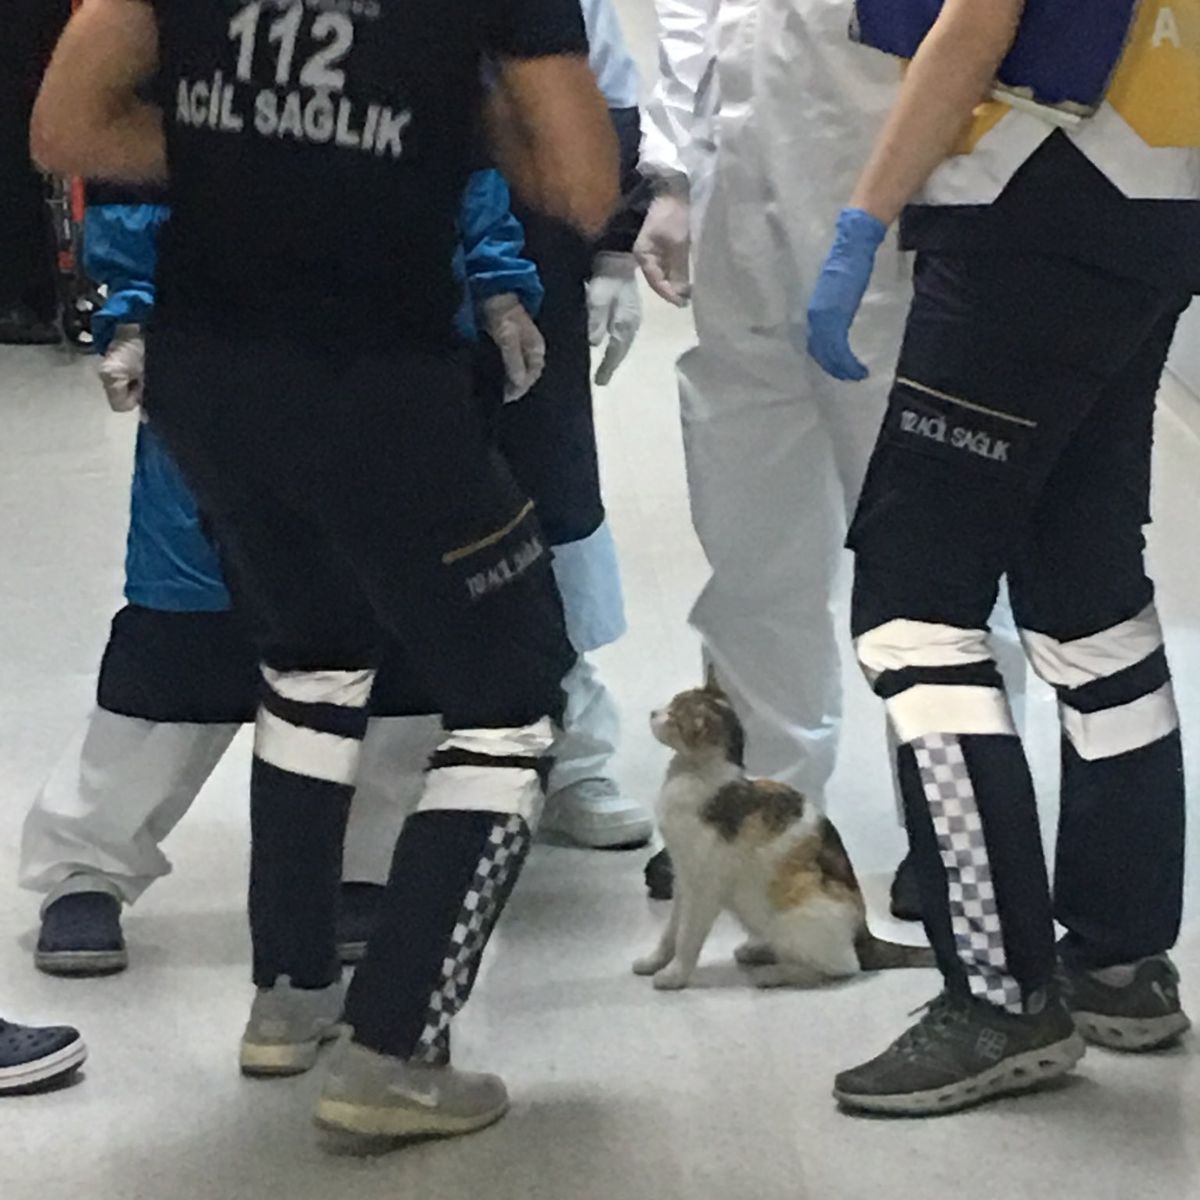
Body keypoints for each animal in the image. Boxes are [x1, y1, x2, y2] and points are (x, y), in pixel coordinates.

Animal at [633, 672, 931, 988]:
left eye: (673, 716)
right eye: (671, 703)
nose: (653, 712)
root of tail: (864, 934)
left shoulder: (703, 888)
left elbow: (687, 937)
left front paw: (674, 975)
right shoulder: (682, 879)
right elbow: (670, 932)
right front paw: (653, 961)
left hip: (793, 911)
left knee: (842, 967)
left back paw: (773, 973)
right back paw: (758, 950)